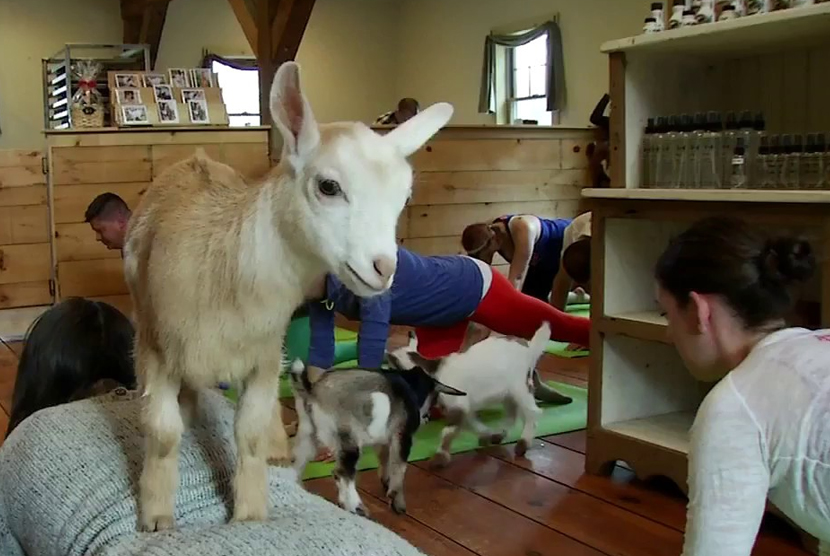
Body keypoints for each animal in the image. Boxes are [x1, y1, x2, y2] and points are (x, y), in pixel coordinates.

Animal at [290, 360, 464, 516]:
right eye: (433, 400)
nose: (427, 417)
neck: (410, 385)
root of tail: (312, 390)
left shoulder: (385, 437)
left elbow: (384, 457)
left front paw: (385, 481)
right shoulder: (403, 435)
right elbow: (399, 467)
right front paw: (398, 502)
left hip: (308, 435)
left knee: (297, 464)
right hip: (349, 439)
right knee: (342, 473)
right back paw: (355, 506)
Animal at [388, 322, 552, 464]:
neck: (435, 371)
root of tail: (529, 347)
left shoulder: (458, 405)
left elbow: (448, 431)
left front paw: (440, 458)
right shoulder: (464, 407)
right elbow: (471, 424)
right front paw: (485, 434)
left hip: (519, 387)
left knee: (532, 412)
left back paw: (523, 444)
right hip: (508, 394)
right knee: (512, 414)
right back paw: (498, 435)